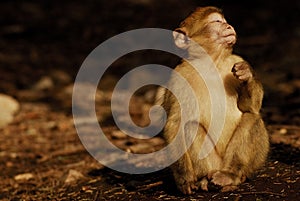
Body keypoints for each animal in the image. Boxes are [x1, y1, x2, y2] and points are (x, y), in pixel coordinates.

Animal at [162, 6, 270, 195]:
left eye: (224, 21)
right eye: (216, 21)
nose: (229, 26)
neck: (212, 63)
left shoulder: (236, 60)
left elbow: (250, 108)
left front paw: (246, 74)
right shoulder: (178, 77)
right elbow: (175, 124)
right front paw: (184, 179)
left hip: (247, 163)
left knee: (252, 118)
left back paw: (230, 176)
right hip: (212, 162)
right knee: (190, 126)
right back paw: (206, 180)